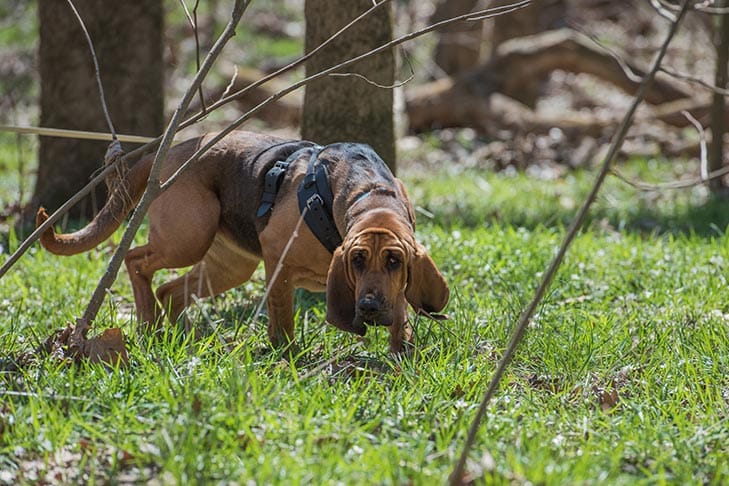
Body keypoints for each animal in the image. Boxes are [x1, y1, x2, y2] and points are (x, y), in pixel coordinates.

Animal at [35, 131, 450, 352]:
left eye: (395, 262)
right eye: (357, 261)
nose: (368, 307)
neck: (369, 193)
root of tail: (172, 150)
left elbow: (401, 319)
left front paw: (401, 352)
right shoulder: (278, 265)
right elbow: (282, 321)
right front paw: (287, 356)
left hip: (230, 266)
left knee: (170, 290)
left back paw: (177, 334)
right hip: (188, 238)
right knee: (135, 260)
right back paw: (149, 322)